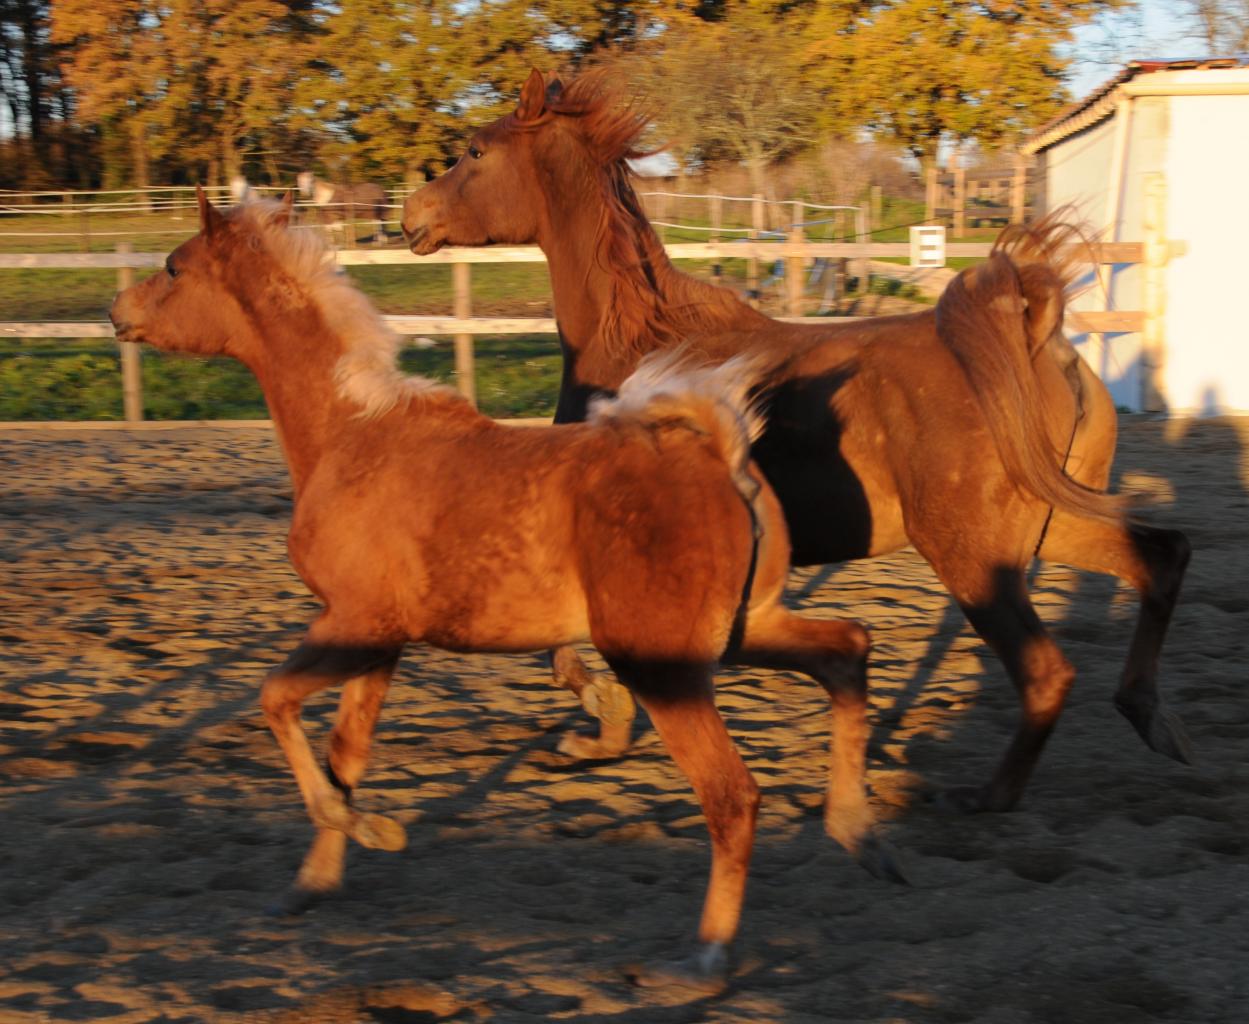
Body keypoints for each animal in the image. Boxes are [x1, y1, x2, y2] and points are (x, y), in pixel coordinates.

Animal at [109, 192, 899, 994]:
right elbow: (346, 750)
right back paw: (858, 833)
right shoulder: (380, 640)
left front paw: (369, 829)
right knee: (846, 651)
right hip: (743, 630)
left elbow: (276, 702)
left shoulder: (353, 623)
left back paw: (702, 957)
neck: (352, 435)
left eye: (173, 267)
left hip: (662, 665)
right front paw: (314, 881)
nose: (117, 309)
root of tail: (721, 455)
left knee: (732, 796)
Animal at [404, 68, 1194, 814]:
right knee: (1161, 557)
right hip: (1050, 522)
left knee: (1046, 671)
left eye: (475, 150)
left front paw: (600, 721)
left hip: (975, 554)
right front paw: (601, 730)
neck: (632, 346)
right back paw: (1150, 719)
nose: (411, 215)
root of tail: (1034, 337)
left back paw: (984, 796)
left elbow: (565, 652)